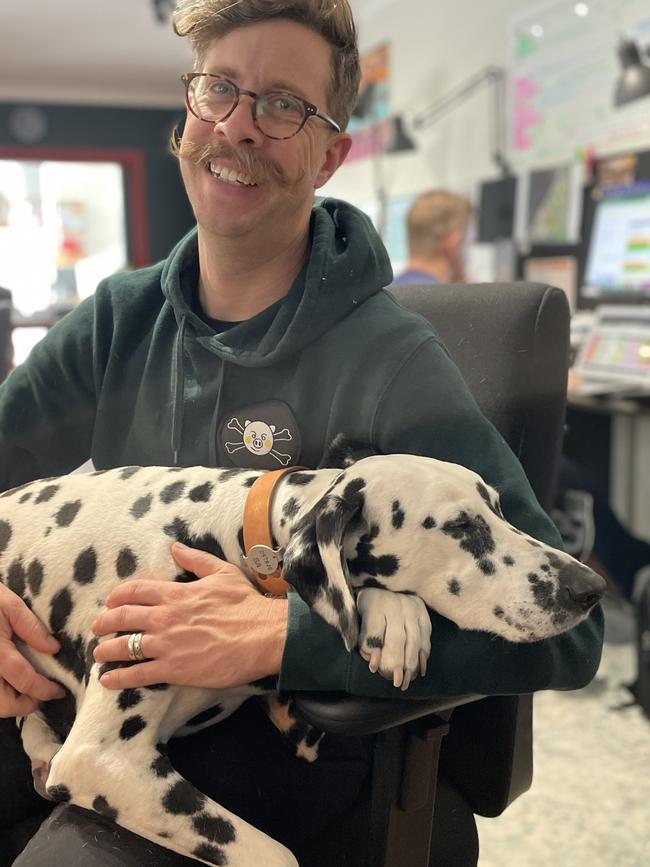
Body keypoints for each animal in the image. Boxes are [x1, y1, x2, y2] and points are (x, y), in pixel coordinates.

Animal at [0, 448, 604, 867]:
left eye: (499, 509)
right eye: (460, 526)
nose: (590, 587)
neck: (227, 534)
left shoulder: (298, 727)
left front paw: (393, 618)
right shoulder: (103, 760)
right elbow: (276, 854)